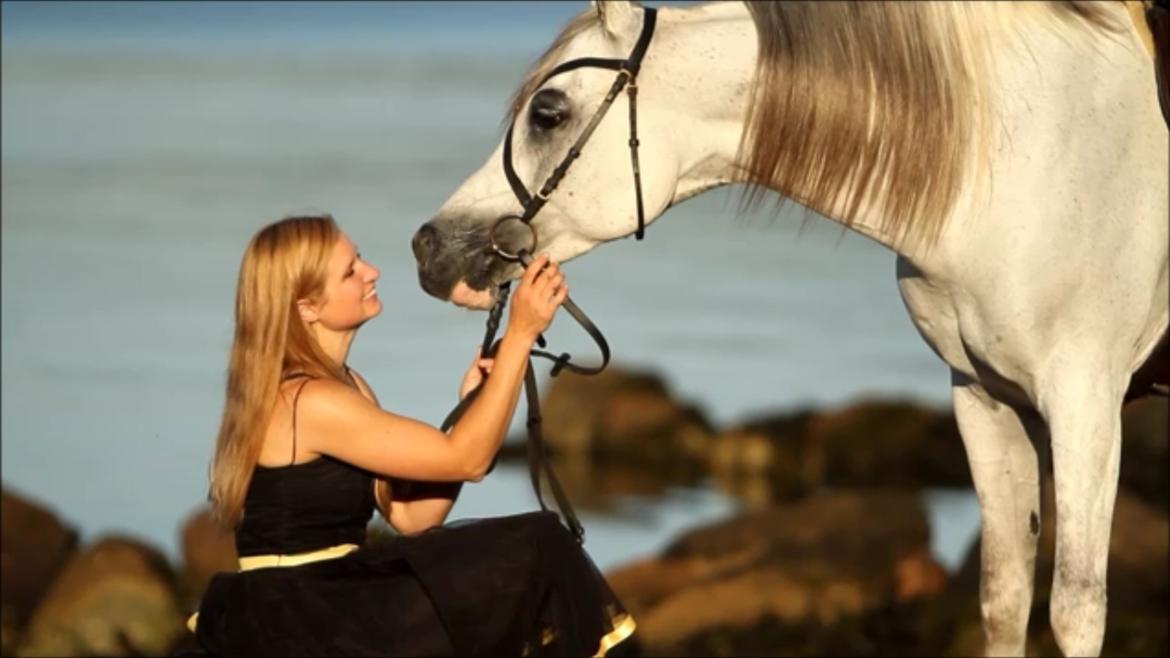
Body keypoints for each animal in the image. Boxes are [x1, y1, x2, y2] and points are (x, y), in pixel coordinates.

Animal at [409, 2, 1160, 650]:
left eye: (548, 113)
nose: (429, 247)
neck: (1020, 156)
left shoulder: (1084, 401)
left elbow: (1074, 611)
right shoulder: (985, 398)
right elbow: (1004, 600)